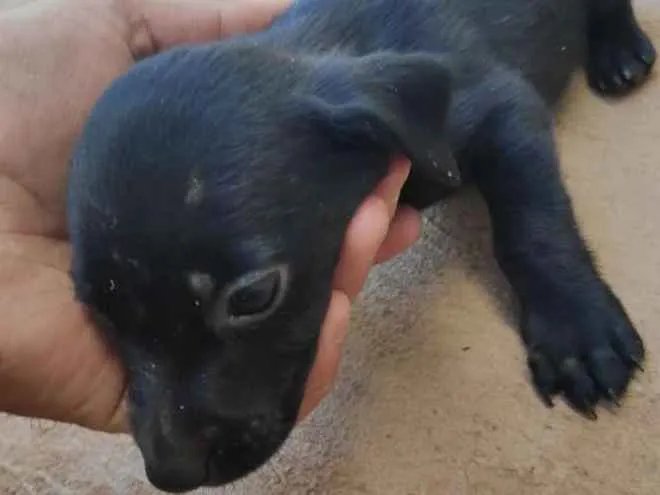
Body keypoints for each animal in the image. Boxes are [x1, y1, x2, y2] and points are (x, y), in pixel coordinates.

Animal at [67, 0, 656, 492]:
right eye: (97, 307)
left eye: (253, 297)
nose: (172, 473)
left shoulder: (501, 107)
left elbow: (532, 227)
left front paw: (575, 328)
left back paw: (619, 49)